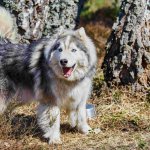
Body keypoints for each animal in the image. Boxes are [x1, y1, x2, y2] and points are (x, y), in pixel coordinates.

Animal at [0, 6, 97, 144]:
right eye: (60, 49)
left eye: (73, 50)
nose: (63, 61)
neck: (68, 81)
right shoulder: (51, 102)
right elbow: (54, 123)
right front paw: (54, 139)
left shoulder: (80, 98)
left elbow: (82, 116)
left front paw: (86, 130)